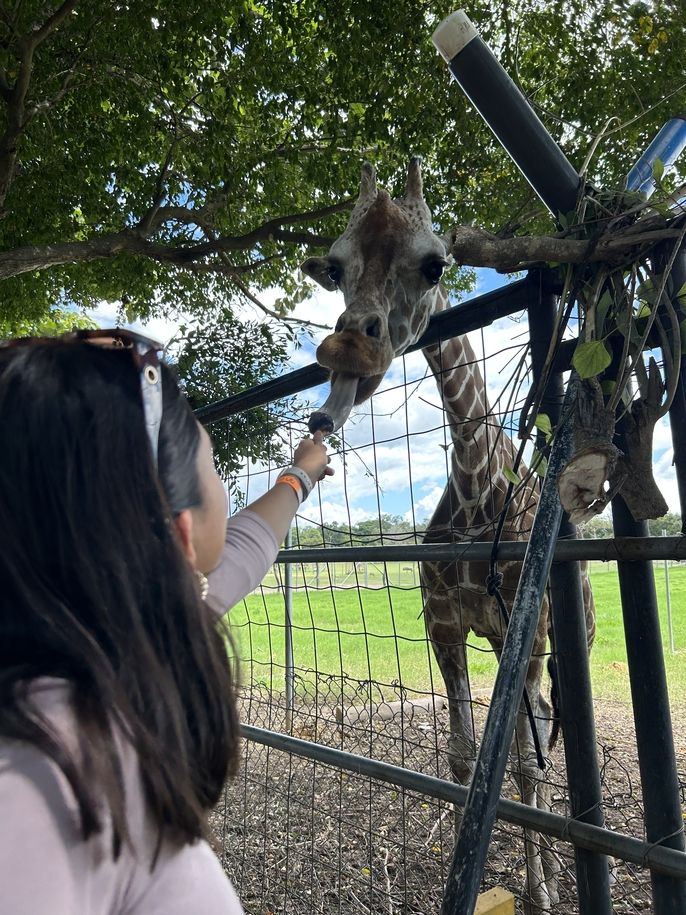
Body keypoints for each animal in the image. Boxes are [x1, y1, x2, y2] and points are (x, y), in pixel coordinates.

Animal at [304, 161, 600, 912]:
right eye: (335, 266)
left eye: (434, 261)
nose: (352, 343)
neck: (473, 487)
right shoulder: (445, 624)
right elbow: (466, 756)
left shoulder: (521, 625)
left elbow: (522, 765)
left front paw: (538, 888)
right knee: (538, 723)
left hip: (561, 634)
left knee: (542, 736)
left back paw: (553, 868)